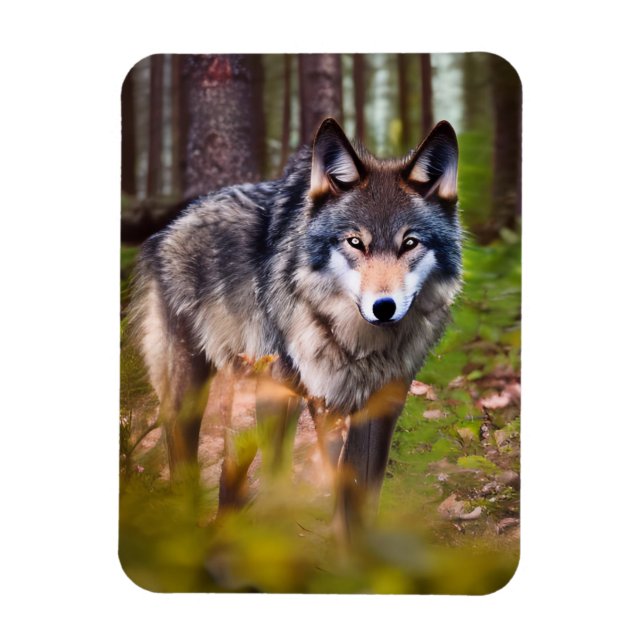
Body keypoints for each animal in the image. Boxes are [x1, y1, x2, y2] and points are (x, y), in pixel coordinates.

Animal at [129, 118, 462, 539]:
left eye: (410, 243)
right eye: (355, 242)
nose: (383, 308)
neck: (360, 346)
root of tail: (170, 224)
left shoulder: (379, 404)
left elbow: (359, 493)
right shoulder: (308, 397)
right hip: (204, 387)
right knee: (197, 458)